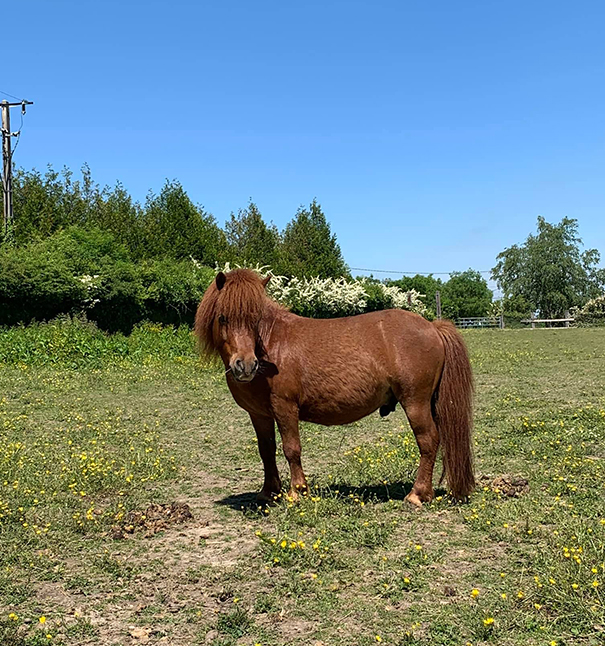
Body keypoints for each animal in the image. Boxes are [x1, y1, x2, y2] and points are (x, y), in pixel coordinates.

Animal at [196, 268, 474, 506]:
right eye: (223, 317)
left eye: (256, 319)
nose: (246, 365)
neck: (271, 346)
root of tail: (432, 326)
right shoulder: (259, 414)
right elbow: (266, 450)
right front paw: (268, 492)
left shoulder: (285, 408)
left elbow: (291, 449)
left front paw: (297, 492)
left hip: (415, 402)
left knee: (428, 441)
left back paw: (417, 494)